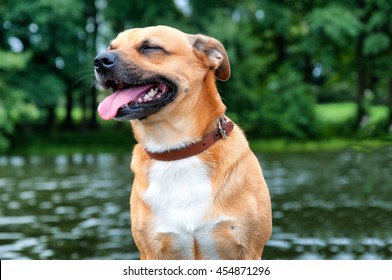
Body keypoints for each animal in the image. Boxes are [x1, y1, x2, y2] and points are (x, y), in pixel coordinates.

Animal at [94, 25, 272, 260]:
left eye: (150, 47)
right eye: (110, 47)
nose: (99, 60)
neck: (177, 150)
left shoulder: (249, 249)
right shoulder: (150, 250)